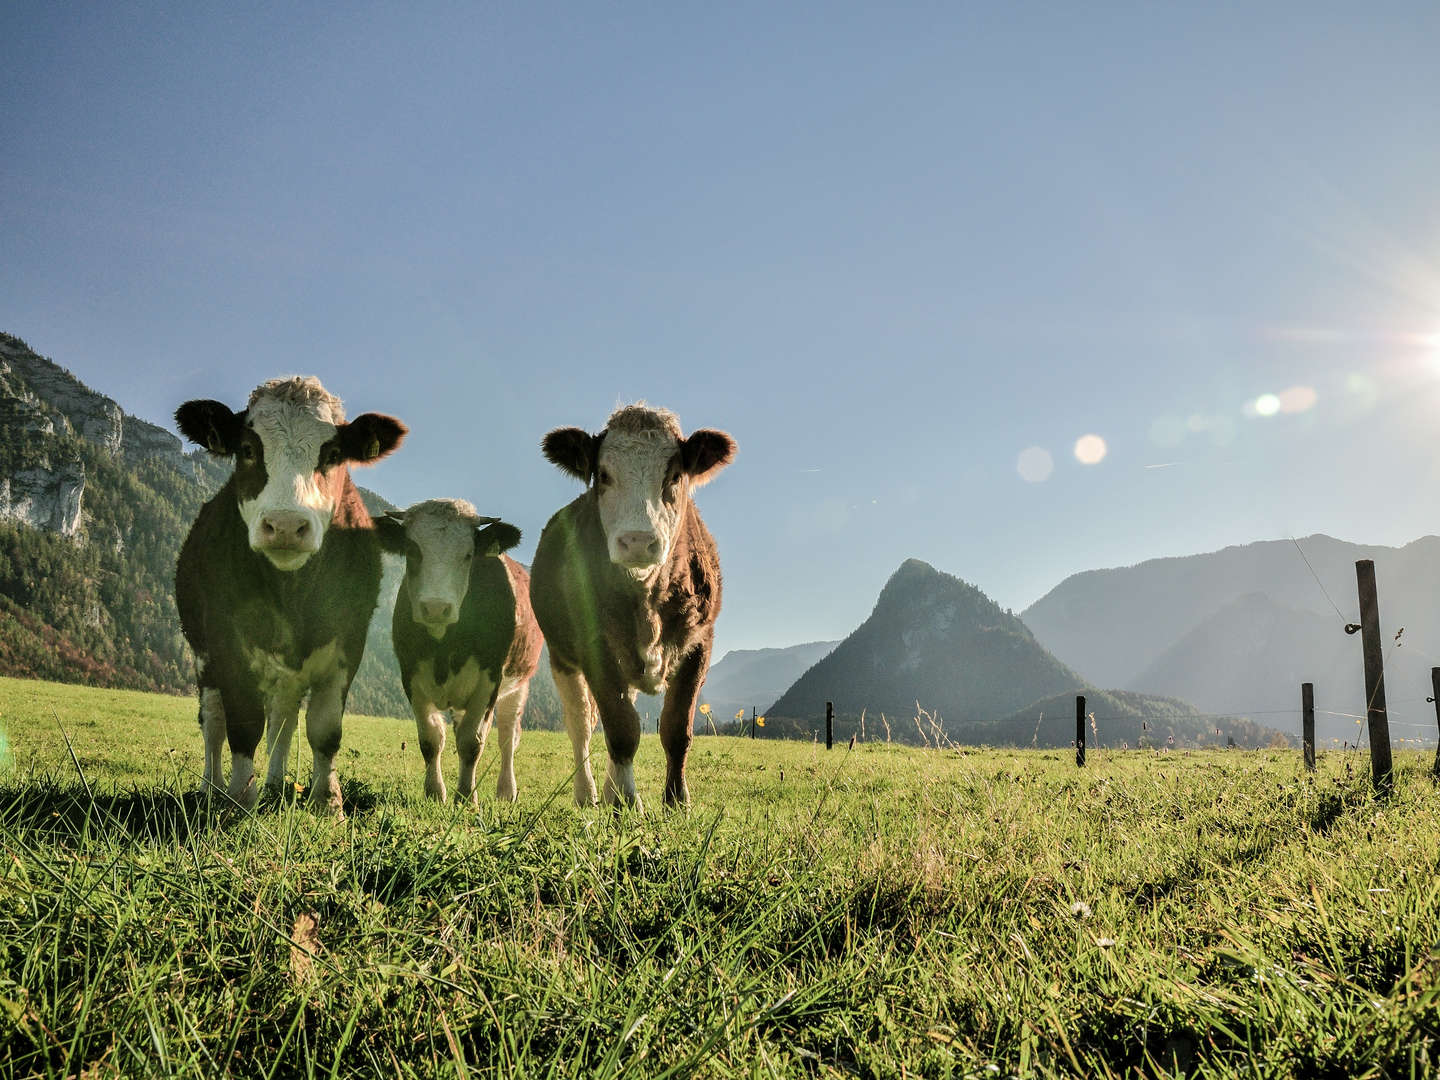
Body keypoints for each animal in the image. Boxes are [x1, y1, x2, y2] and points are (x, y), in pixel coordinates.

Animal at [179, 377, 408, 817]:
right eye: (248, 449)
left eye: (333, 454)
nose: (285, 525)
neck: (293, 592)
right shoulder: (227, 642)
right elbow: (243, 722)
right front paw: (239, 798)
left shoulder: (348, 642)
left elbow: (323, 728)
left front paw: (328, 803)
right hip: (203, 656)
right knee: (213, 721)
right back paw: (211, 789)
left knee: (282, 720)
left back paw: (274, 783)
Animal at [374, 498, 541, 806]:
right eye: (412, 551)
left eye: (468, 555)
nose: (436, 607)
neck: (445, 645)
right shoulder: (410, 675)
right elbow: (430, 739)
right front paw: (434, 793)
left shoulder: (490, 681)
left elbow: (471, 742)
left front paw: (465, 797)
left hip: (519, 684)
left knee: (508, 737)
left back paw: (506, 791)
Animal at [529, 406, 737, 812]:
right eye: (604, 475)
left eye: (674, 475)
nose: (638, 541)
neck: (647, 603)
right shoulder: (594, 646)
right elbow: (622, 728)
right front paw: (626, 801)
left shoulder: (701, 642)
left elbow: (676, 728)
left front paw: (676, 800)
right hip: (562, 656)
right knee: (581, 724)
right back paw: (588, 794)